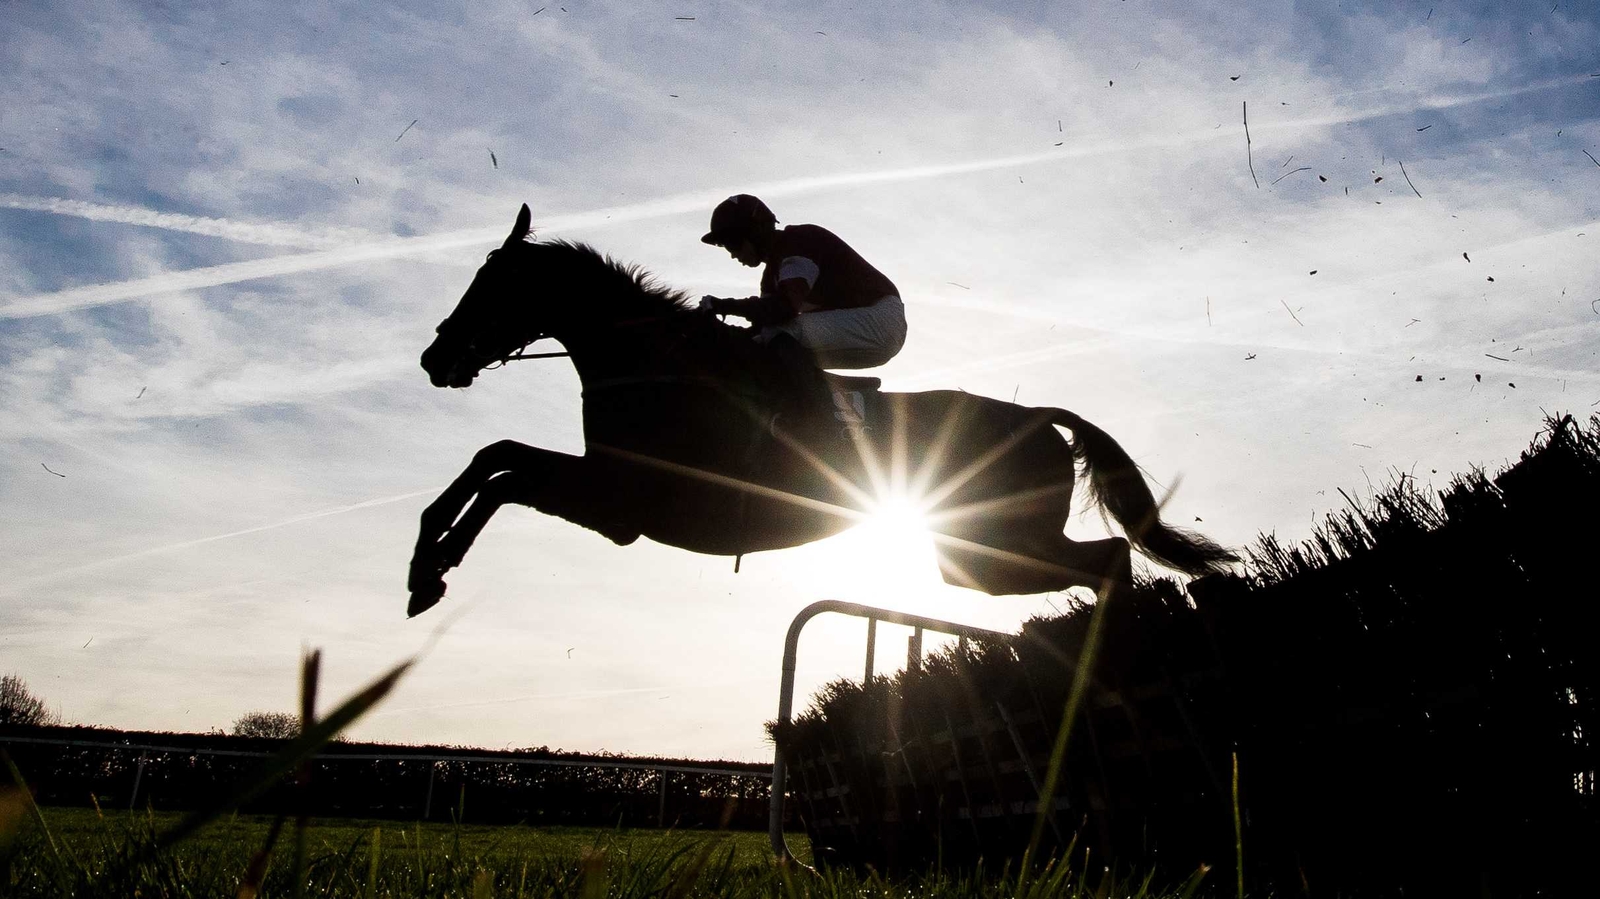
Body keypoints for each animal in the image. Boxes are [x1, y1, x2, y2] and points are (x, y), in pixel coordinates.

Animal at [407, 204, 1236, 617]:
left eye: (493, 283)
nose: (434, 359)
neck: (657, 367)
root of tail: (1040, 417)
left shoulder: (623, 500)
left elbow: (508, 472)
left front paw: (431, 567)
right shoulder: (606, 483)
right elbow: (496, 457)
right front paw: (426, 564)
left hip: (991, 545)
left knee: (1110, 558)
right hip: (976, 554)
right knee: (1104, 560)